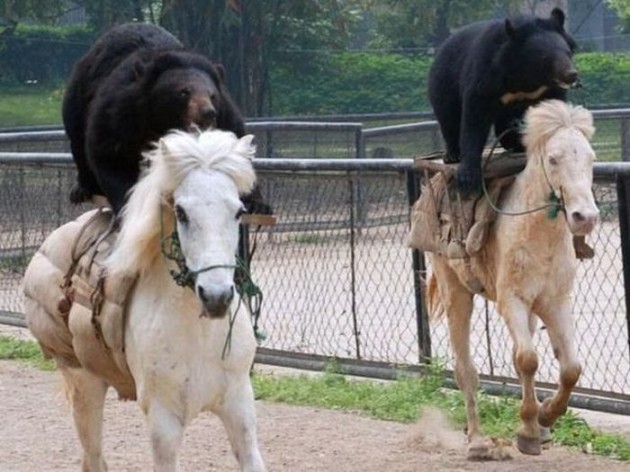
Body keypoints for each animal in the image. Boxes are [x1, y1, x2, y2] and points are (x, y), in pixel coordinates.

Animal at [23, 129, 266, 472]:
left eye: (238, 211)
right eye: (181, 212)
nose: (216, 296)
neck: (198, 335)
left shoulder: (239, 407)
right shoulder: (163, 422)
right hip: (84, 384)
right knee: (93, 458)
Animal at [65, 22, 270, 214]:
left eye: (212, 95)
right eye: (184, 92)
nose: (208, 113)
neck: (161, 121)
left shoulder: (225, 114)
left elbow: (235, 145)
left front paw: (257, 204)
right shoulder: (119, 113)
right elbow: (112, 156)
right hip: (77, 100)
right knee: (78, 141)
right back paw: (82, 189)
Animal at [412, 100, 600, 460]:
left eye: (590, 158)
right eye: (553, 158)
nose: (585, 217)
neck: (537, 234)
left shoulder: (554, 302)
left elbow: (570, 368)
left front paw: (544, 418)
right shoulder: (512, 300)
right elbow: (527, 359)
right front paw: (528, 429)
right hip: (456, 291)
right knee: (466, 369)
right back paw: (477, 442)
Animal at [430, 8, 584, 195]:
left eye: (568, 52)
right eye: (545, 58)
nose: (571, 74)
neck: (526, 76)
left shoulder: (549, 89)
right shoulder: (487, 74)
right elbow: (475, 117)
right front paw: (468, 177)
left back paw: (517, 144)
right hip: (444, 83)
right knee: (448, 117)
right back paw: (452, 154)